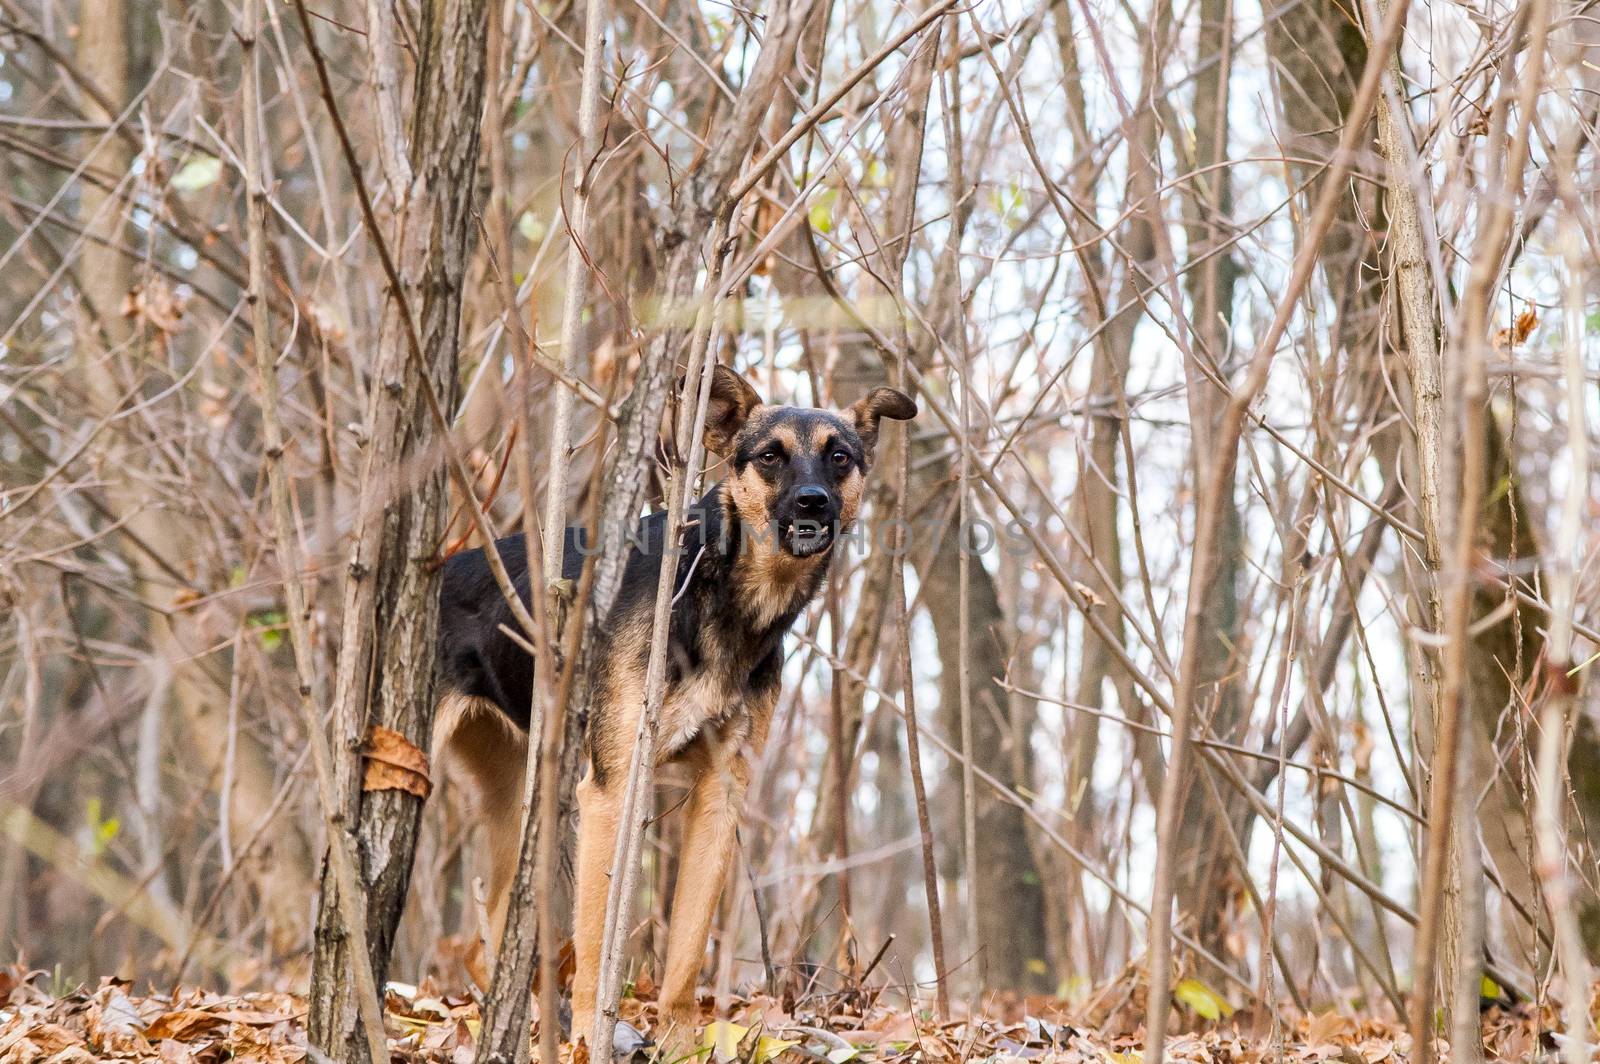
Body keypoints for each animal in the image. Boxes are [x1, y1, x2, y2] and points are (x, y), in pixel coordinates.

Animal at [432, 364, 921, 1043]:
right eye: (770, 456)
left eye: (839, 457)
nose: (812, 502)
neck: (725, 596)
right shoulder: (612, 790)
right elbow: (596, 946)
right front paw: (590, 1038)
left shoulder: (721, 792)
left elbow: (688, 949)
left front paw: (682, 1040)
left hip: (513, 801)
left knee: (487, 949)